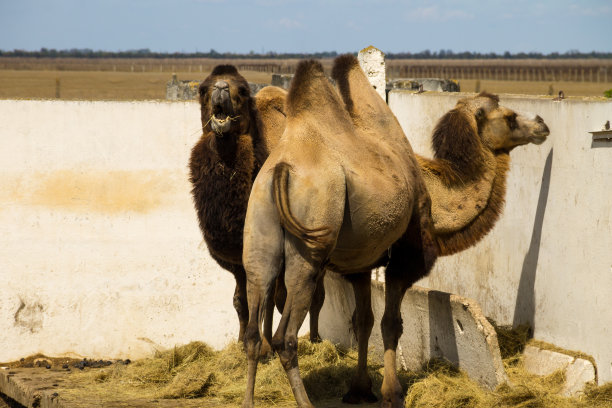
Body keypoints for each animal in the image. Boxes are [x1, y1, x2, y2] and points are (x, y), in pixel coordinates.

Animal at [189, 65, 328, 350]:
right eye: (202, 89)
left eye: (242, 90)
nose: (221, 88)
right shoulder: (237, 260)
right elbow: (241, 301)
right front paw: (242, 343)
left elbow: (271, 300)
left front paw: (265, 346)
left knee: (313, 292)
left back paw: (315, 339)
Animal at [239, 55, 548, 408]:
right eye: (509, 117)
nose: (541, 124)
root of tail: (281, 169)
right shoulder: (405, 258)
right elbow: (390, 324)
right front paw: (392, 392)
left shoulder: (359, 265)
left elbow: (363, 321)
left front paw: (360, 390)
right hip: (309, 248)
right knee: (285, 337)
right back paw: (305, 402)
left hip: (258, 232)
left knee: (253, 330)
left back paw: (248, 401)